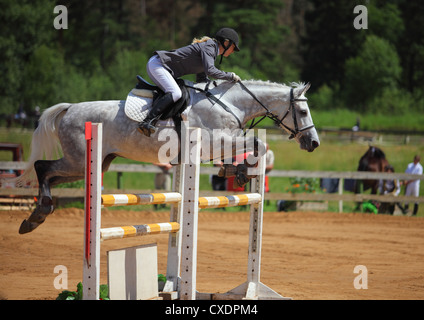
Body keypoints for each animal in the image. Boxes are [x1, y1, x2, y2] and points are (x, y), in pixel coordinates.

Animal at [13, 80, 318, 234]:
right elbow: (257, 143)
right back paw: (37, 215)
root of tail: (70, 108)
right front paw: (239, 172)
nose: (313, 143)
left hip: (91, 164)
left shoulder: (219, 143)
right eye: (303, 112)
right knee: (42, 167)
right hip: (78, 160)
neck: (229, 103)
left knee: (50, 175)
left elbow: (251, 146)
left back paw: (35, 216)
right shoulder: (211, 142)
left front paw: (234, 172)